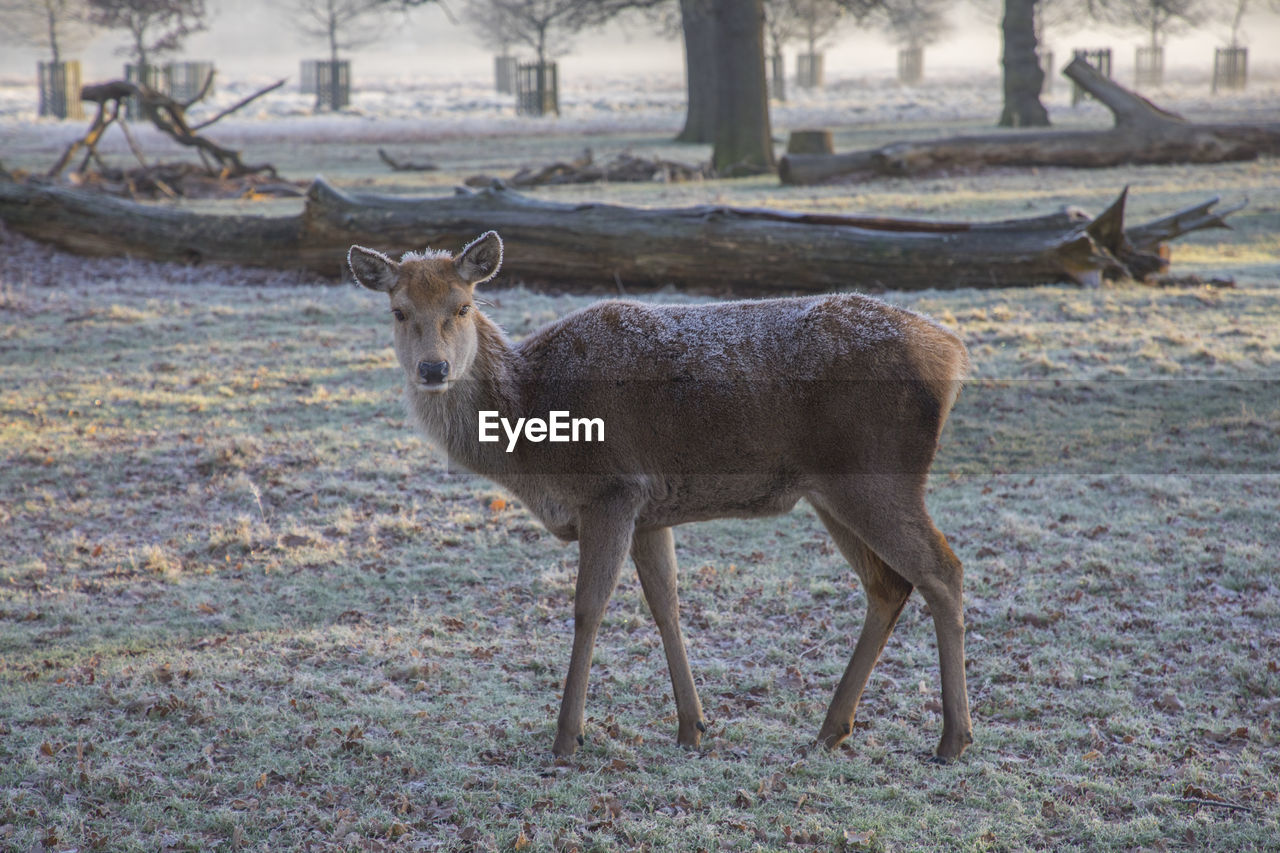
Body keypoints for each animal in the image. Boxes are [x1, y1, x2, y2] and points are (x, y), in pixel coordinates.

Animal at [345, 230, 972, 758]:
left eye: (463, 307)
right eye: (399, 311)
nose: (433, 369)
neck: (534, 436)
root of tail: (952, 353)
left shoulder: (613, 489)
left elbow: (588, 607)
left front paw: (566, 738)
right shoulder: (652, 511)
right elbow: (666, 603)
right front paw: (693, 726)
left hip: (878, 475)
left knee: (943, 570)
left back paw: (952, 739)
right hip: (832, 493)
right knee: (888, 584)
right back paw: (831, 729)